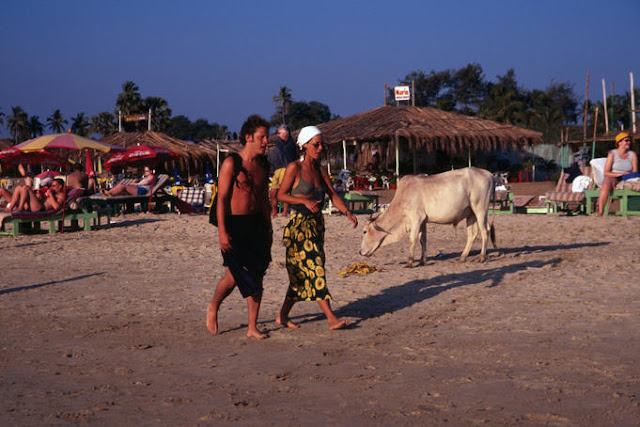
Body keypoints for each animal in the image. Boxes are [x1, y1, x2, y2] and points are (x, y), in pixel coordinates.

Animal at [360, 168, 496, 266]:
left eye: (365, 231)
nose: (360, 252)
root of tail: (489, 174)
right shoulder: (423, 222)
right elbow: (423, 240)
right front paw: (422, 260)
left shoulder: (416, 219)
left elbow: (412, 240)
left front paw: (410, 262)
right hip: (471, 214)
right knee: (472, 234)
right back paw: (462, 257)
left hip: (480, 210)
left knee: (485, 231)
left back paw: (482, 257)